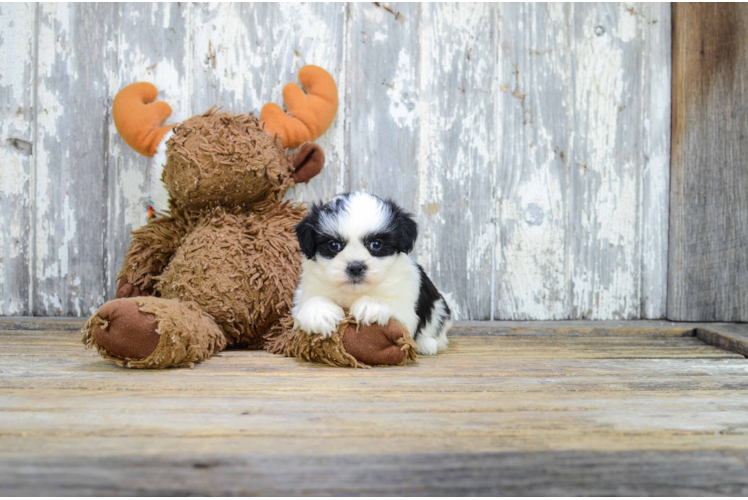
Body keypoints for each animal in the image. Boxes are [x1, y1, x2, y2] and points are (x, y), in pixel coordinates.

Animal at [294, 191, 450, 356]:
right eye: (334, 245)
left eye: (376, 244)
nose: (355, 267)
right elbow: (312, 300)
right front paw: (320, 311)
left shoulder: (405, 306)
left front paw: (371, 305)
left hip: (439, 306)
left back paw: (426, 344)